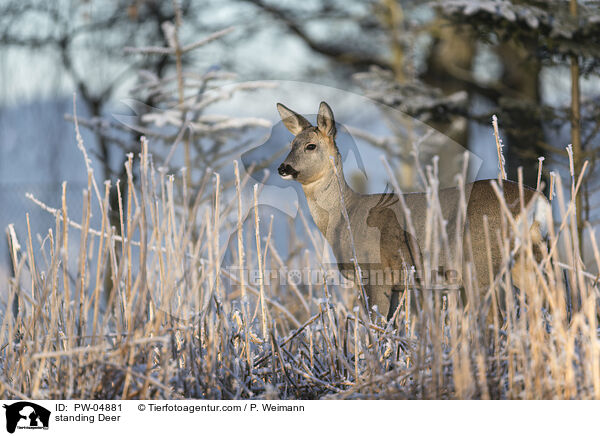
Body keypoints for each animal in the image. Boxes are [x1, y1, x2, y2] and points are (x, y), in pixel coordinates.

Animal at [276, 101, 548, 320]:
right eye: (291, 143)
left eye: (310, 146)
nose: (283, 168)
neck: (345, 216)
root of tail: (537, 202)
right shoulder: (399, 284)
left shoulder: (376, 274)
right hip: (529, 257)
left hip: (480, 261)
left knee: (496, 317)